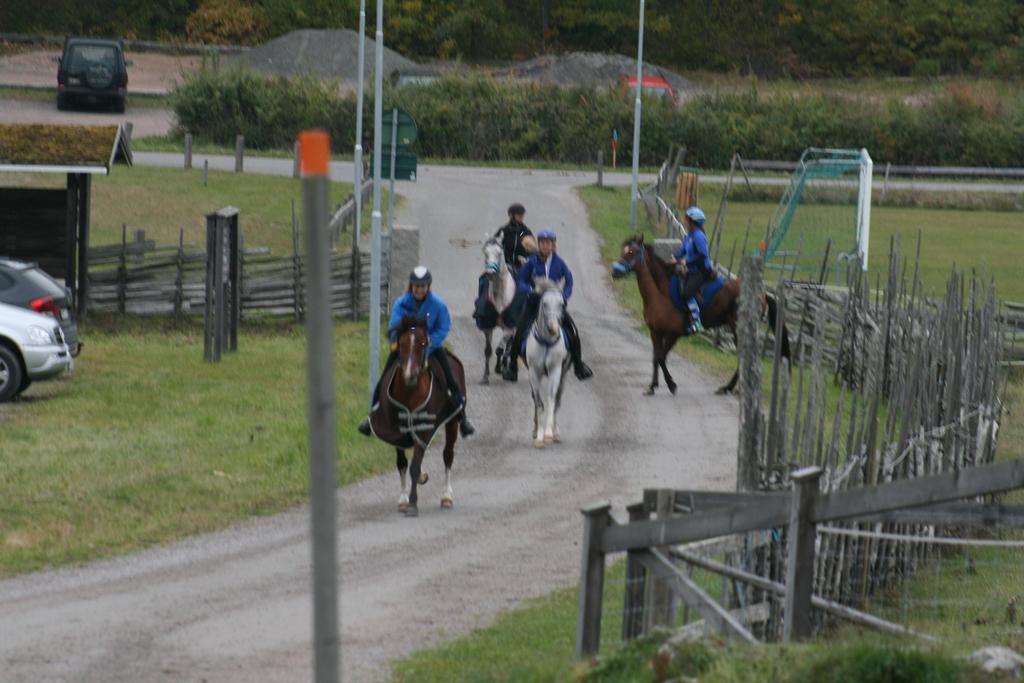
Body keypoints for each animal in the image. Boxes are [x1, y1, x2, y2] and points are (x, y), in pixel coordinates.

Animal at [368, 317, 464, 516]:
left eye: (423, 343)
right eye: (402, 343)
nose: (409, 375)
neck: (409, 392)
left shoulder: (423, 429)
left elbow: (414, 466)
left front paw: (413, 503)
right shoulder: (396, 431)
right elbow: (403, 464)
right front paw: (404, 499)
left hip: (452, 422)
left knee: (448, 455)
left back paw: (446, 497)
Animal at [475, 239, 516, 385]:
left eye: (499, 253)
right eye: (485, 252)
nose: (490, 273)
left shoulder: (509, 326)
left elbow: (500, 349)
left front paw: (501, 369)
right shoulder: (487, 325)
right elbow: (488, 350)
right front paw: (485, 377)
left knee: (508, 346)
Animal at [524, 278, 573, 448]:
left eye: (562, 304)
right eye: (544, 304)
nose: (553, 329)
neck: (546, 341)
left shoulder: (555, 370)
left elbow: (552, 399)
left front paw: (548, 434)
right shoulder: (534, 372)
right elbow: (539, 403)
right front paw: (539, 437)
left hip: (564, 375)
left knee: (558, 401)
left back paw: (556, 432)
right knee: (535, 400)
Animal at [606, 233, 790, 395]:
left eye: (631, 252)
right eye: (623, 250)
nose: (615, 271)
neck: (661, 293)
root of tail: (763, 293)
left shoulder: (674, 333)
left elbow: (661, 357)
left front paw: (671, 385)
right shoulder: (655, 332)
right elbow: (655, 358)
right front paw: (652, 386)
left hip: (739, 328)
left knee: (744, 357)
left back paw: (728, 388)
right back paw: (728, 387)